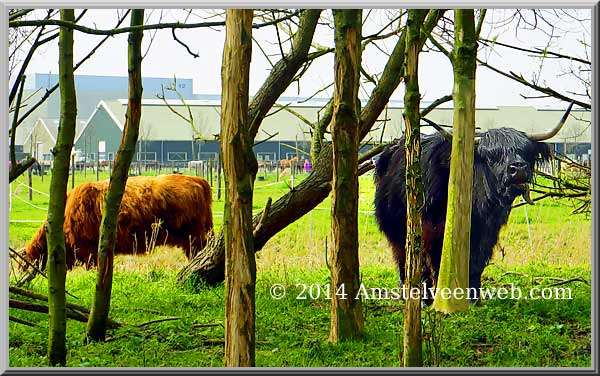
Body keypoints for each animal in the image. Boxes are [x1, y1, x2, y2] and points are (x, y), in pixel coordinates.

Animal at [372, 102, 576, 300]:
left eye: (525, 151)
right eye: (492, 156)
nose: (518, 168)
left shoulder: (486, 234)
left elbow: (475, 265)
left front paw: (474, 298)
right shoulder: (432, 231)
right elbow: (434, 263)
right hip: (398, 231)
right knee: (406, 261)